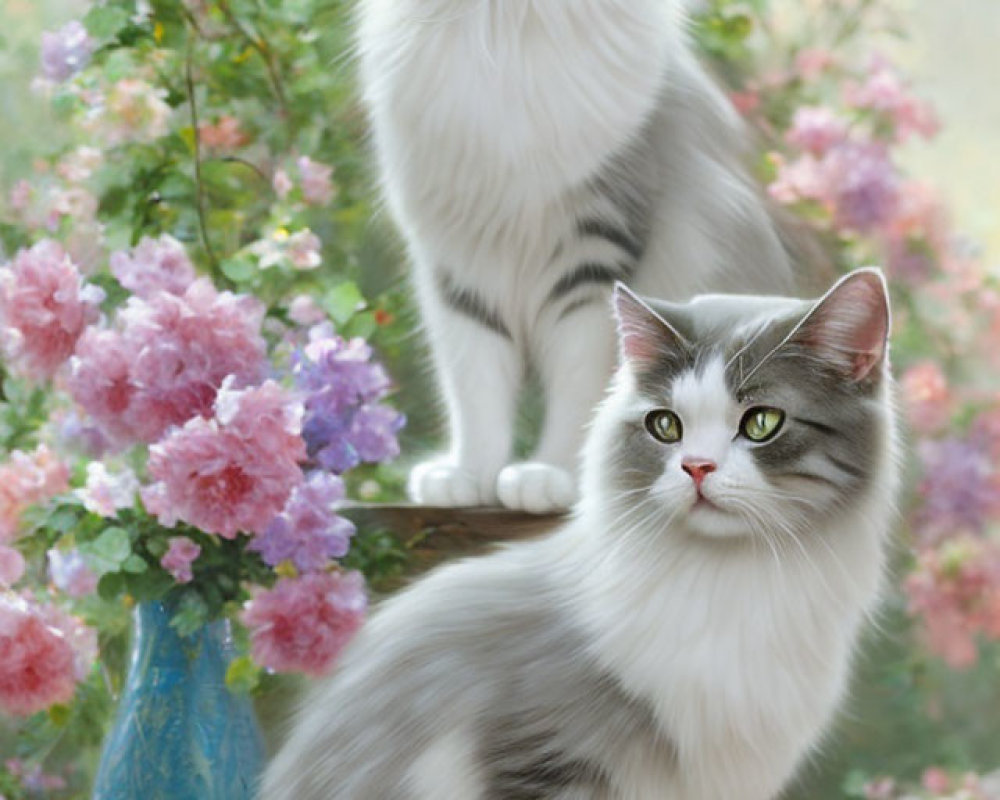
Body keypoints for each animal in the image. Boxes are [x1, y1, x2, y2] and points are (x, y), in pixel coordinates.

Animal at [356, 0, 808, 512]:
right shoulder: (460, 260)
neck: (510, 41)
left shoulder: (594, 252)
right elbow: (475, 388)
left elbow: (577, 387)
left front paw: (553, 475)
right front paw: (467, 475)